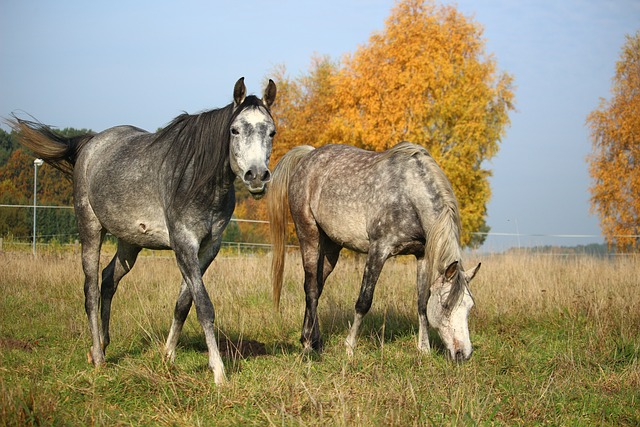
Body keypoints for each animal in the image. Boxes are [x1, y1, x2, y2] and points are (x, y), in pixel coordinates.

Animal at [9, 77, 276, 384]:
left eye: (271, 132)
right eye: (234, 130)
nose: (257, 176)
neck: (197, 179)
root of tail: (91, 144)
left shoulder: (209, 248)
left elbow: (184, 303)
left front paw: (168, 356)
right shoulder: (184, 244)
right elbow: (203, 306)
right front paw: (219, 373)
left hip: (130, 243)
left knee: (108, 280)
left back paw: (102, 344)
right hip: (90, 230)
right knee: (90, 290)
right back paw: (98, 358)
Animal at [266, 143, 480, 362]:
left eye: (470, 306)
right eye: (445, 305)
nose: (463, 354)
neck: (409, 194)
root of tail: (308, 156)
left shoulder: (422, 256)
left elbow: (422, 302)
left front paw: (424, 349)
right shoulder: (378, 250)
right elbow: (363, 302)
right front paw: (349, 348)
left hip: (331, 248)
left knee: (317, 287)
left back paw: (312, 340)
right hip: (308, 235)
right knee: (310, 288)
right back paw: (309, 345)